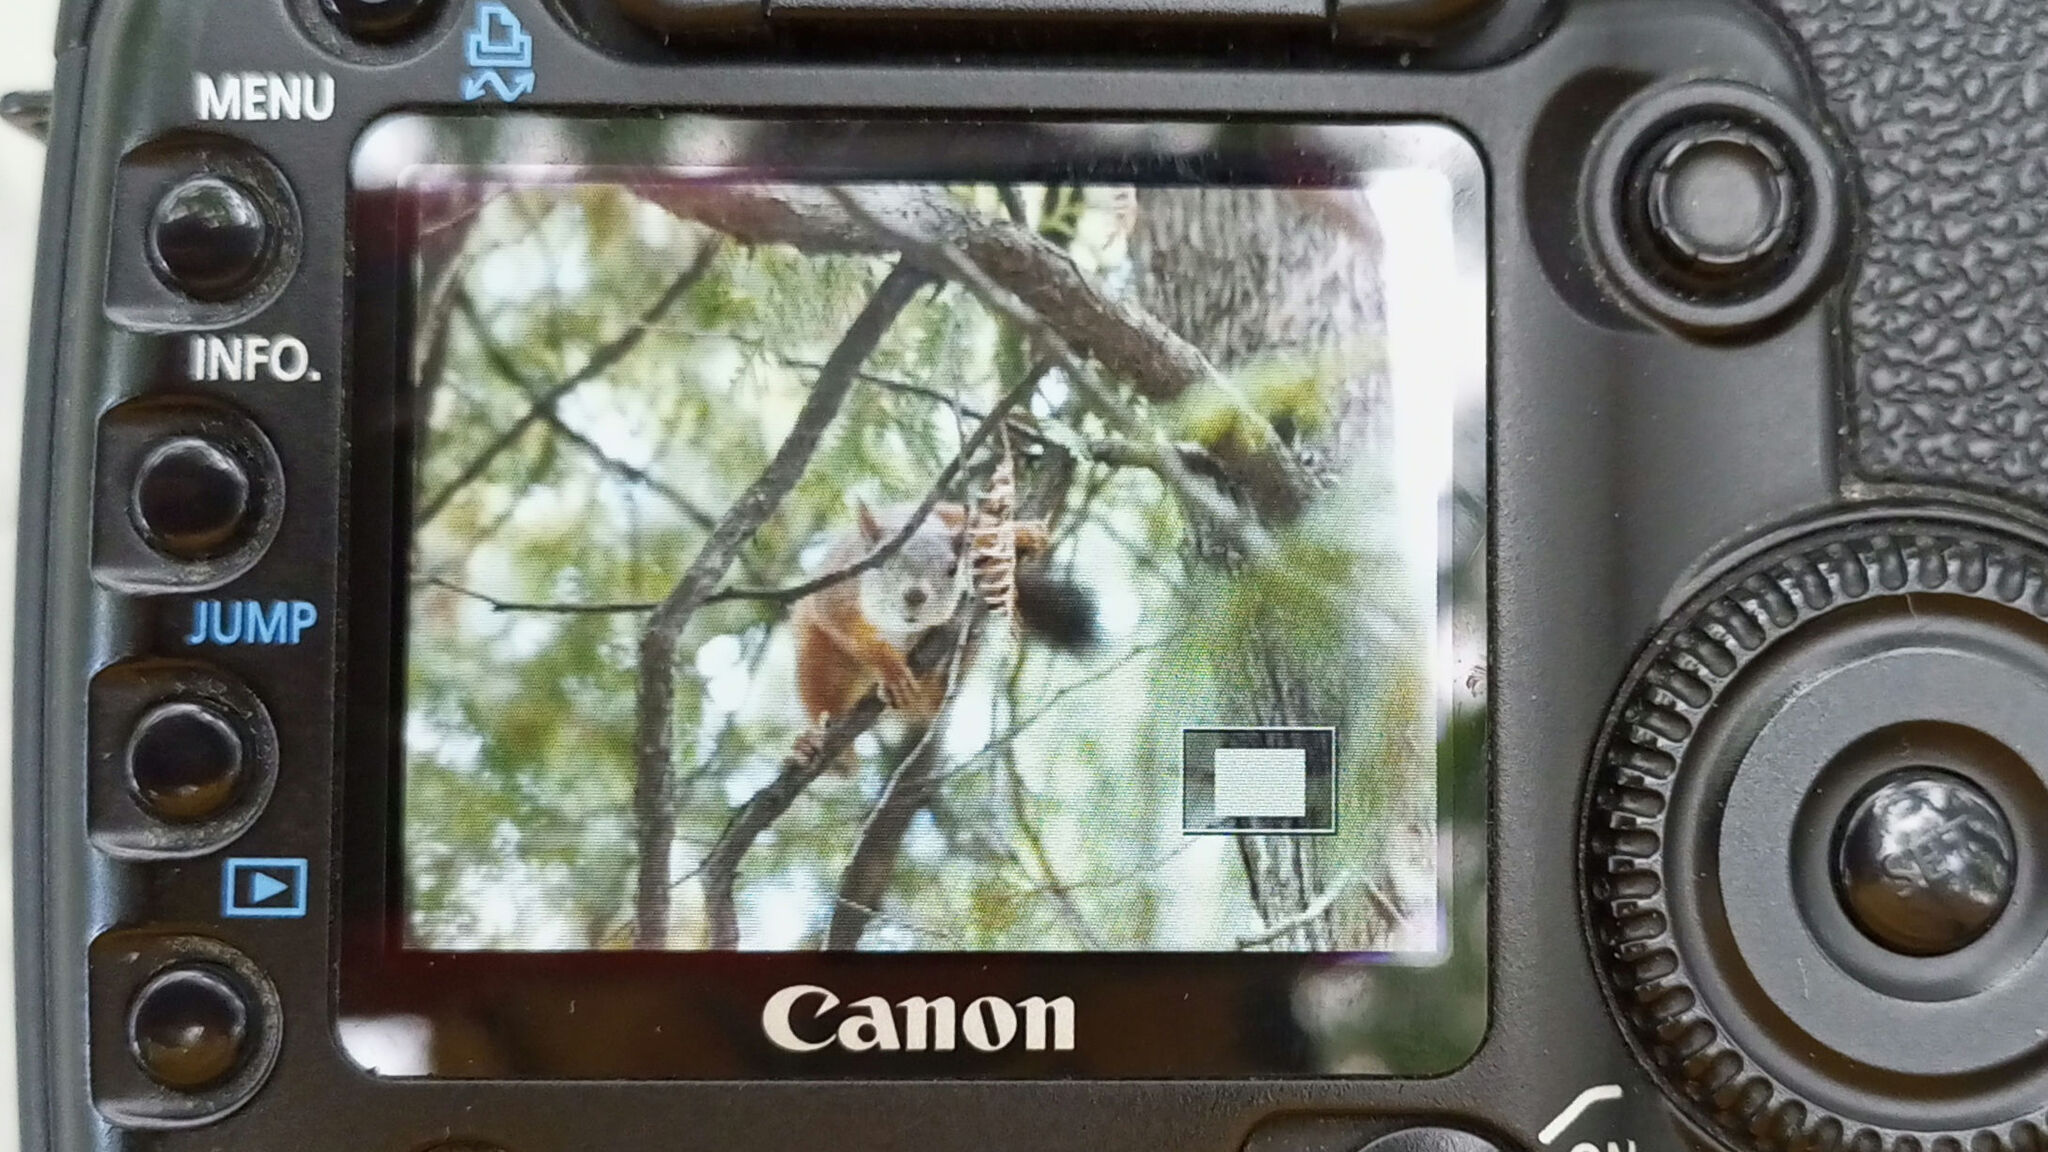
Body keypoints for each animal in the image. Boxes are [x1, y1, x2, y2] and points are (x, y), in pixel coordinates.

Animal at [786, 496, 1105, 754]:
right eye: (884, 562)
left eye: (952, 569)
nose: (915, 596)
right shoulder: (838, 587)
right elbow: (842, 624)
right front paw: (890, 668)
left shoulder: (954, 519)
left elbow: (986, 527)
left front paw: (1023, 532)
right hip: (821, 658)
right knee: (822, 694)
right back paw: (814, 747)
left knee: (935, 700)